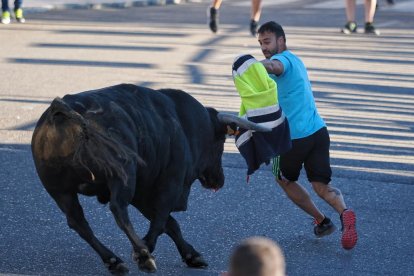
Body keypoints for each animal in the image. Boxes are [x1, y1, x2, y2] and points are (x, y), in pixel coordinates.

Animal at [29, 83, 268, 274]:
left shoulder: (144, 193)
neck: (186, 124)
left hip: (60, 190)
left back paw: (113, 260)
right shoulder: (168, 184)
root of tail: (62, 111)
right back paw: (143, 256)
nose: (219, 180)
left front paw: (191, 255)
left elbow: (170, 224)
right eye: (220, 142)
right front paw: (146, 247)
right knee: (118, 210)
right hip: (122, 176)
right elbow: (162, 220)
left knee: (79, 222)